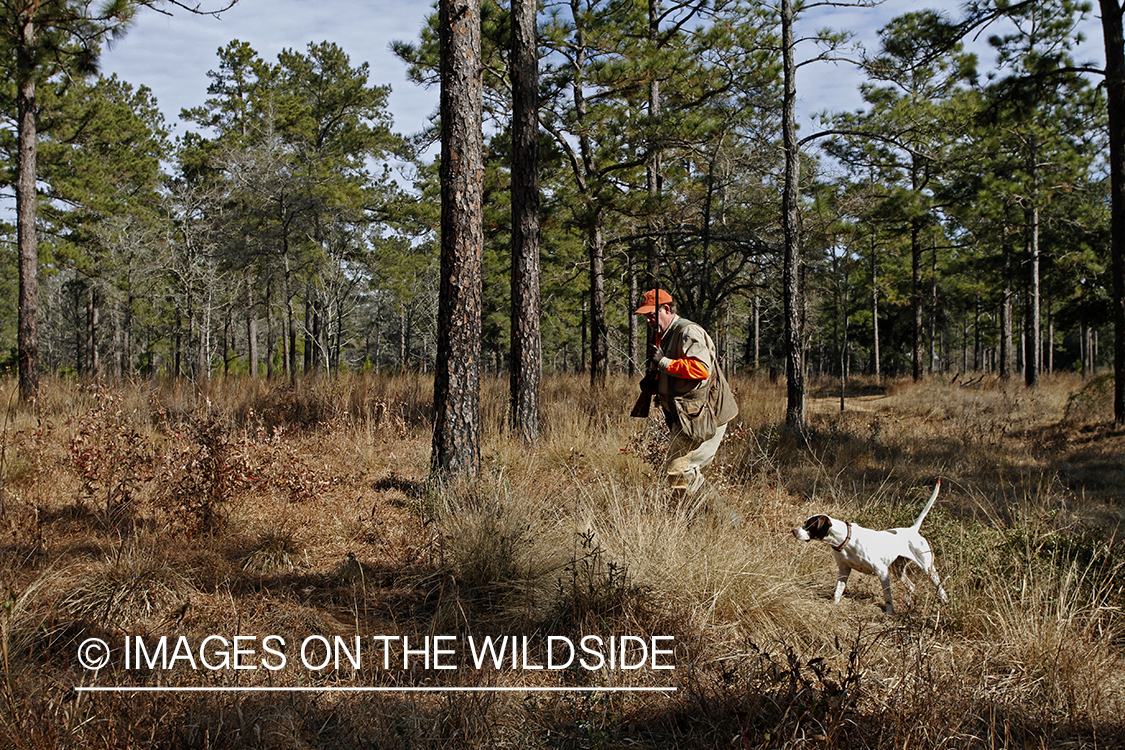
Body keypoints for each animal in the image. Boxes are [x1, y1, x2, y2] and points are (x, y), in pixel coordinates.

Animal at [792, 479, 949, 611]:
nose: (793, 531)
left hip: (928, 568)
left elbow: (888, 597)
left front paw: (890, 614)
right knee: (911, 586)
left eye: (809, 525)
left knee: (940, 587)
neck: (845, 540)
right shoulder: (844, 570)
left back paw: (945, 603)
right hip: (898, 569)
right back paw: (909, 604)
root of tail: (912, 529)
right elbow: (838, 591)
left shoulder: (882, 572)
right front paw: (834, 606)